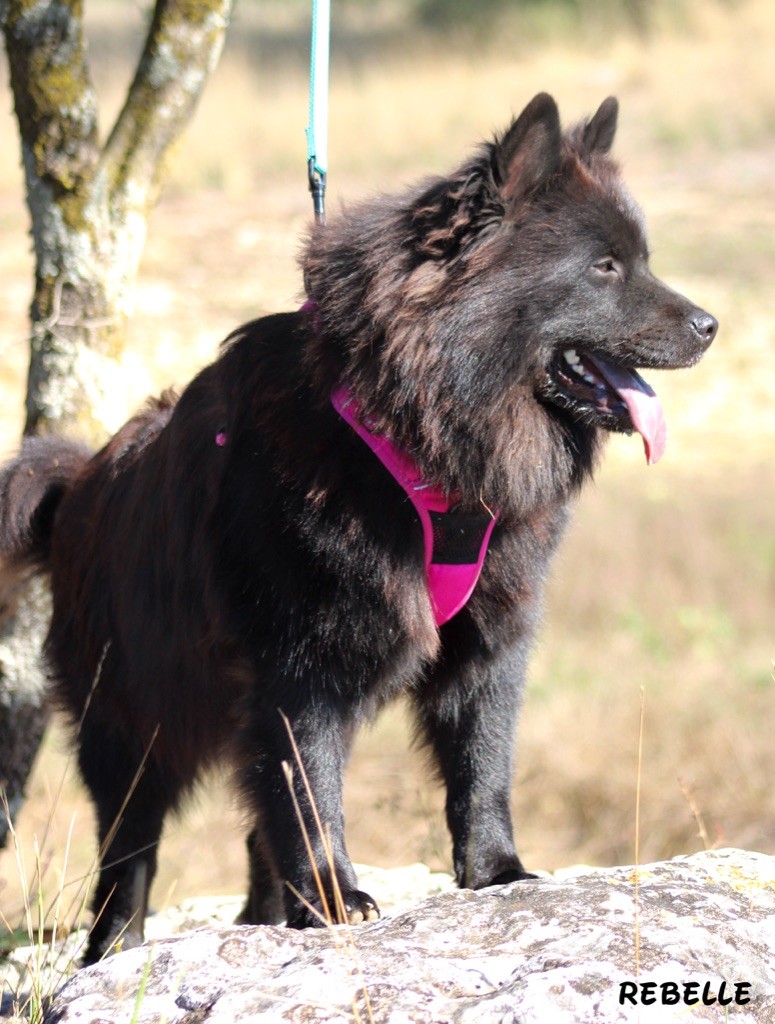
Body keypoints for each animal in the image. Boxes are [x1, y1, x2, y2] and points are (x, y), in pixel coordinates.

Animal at [0, 94, 712, 958]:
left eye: (640, 259)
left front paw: (496, 872)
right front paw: (335, 898)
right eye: (604, 267)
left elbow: (481, 763)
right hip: (132, 712)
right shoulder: (299, 661)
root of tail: (79, 485)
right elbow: (312, 788)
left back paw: (266, 914)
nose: (709, 325)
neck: (415, 435)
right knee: (130, 845)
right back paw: (116, 947)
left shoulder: (489, 642)